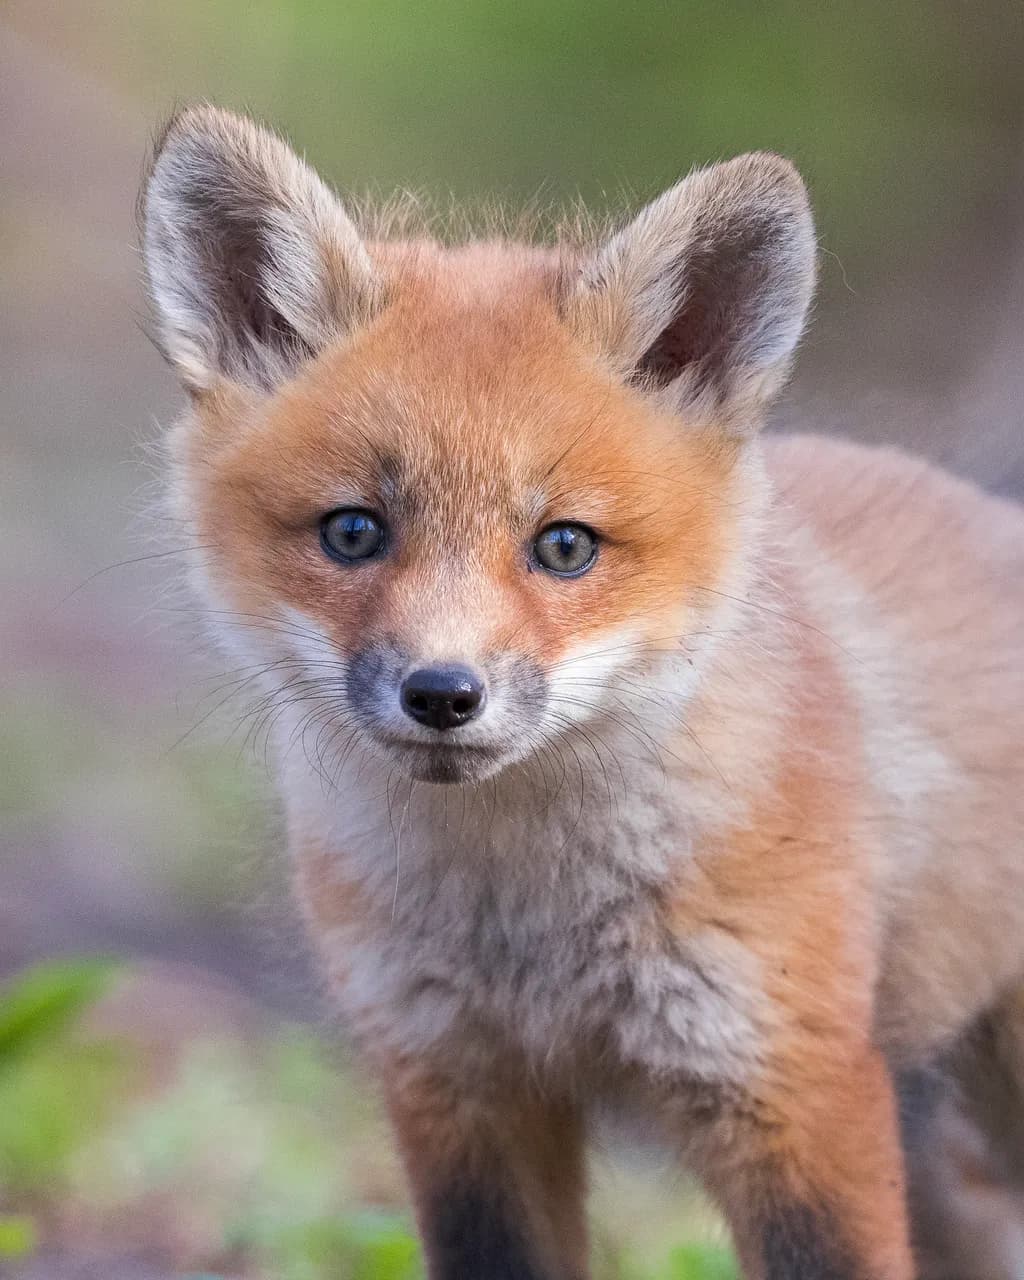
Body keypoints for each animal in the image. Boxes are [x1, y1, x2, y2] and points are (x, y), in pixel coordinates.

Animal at [140, 105, 1024, 1279]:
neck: (531, 929)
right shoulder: (458, 1086)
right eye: (354, 532)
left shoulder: (791, 1085)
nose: (442, 692)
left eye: (564, 546)